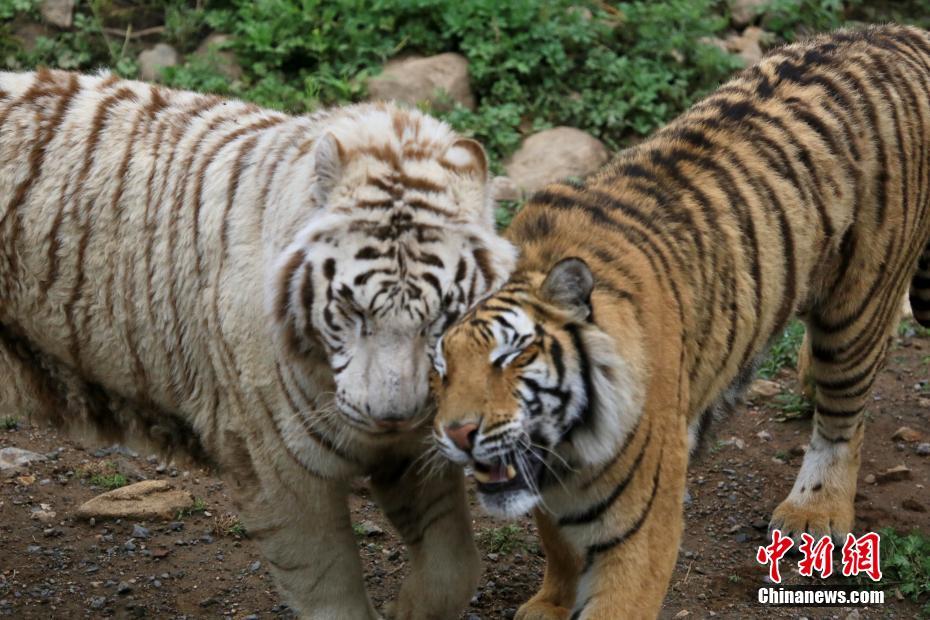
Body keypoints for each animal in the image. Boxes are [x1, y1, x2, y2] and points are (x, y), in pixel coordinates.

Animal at [0, 69, 516, 620]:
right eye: (354, 311)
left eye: (442, 318)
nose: (391, 416)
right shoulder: (279, 466)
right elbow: (329, 587)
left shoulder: (416, 450)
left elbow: (453, 567)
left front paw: (407, 611)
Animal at [434, 25, 928, 620]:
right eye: (439, 366)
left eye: (511, 356)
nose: (457, 434)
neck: (567, 449)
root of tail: (897, 31)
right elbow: (557, 542)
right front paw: (550, 604)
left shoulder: (641, 524)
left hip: (857, 304)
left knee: (842, 419)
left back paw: (814, 510)